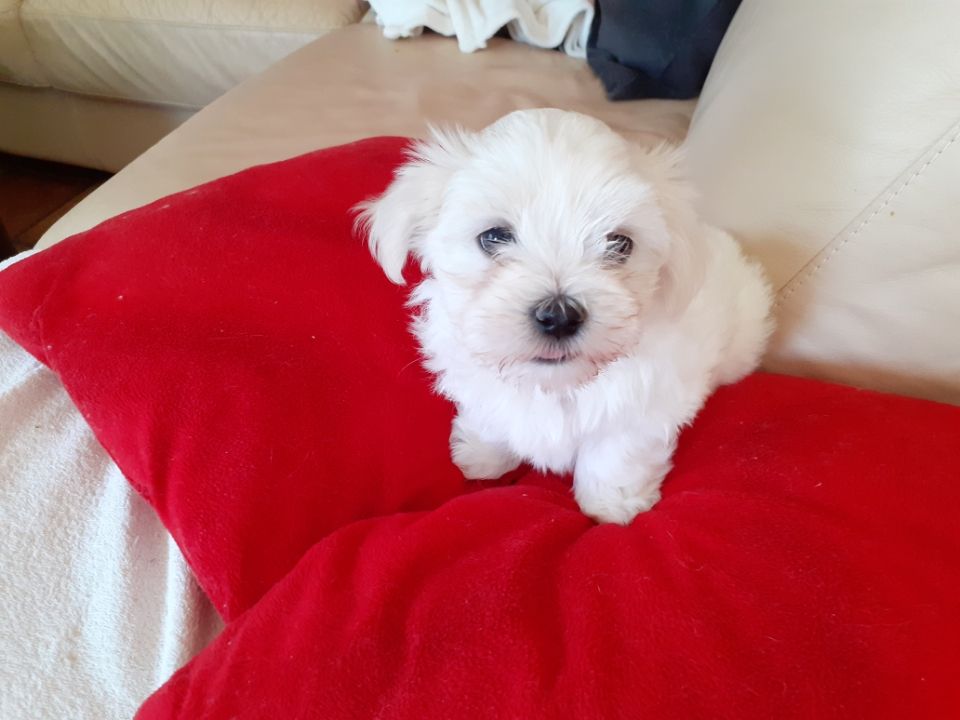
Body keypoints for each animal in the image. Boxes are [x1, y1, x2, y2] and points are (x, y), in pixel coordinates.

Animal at [357, 109, 772, 524]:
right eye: (494, 236)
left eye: (619, 243)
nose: (559, 317)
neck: (554, 385)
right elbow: (488, 412)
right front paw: (480, 454)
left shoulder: (648, 405)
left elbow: (616, 452)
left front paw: (611, 505)